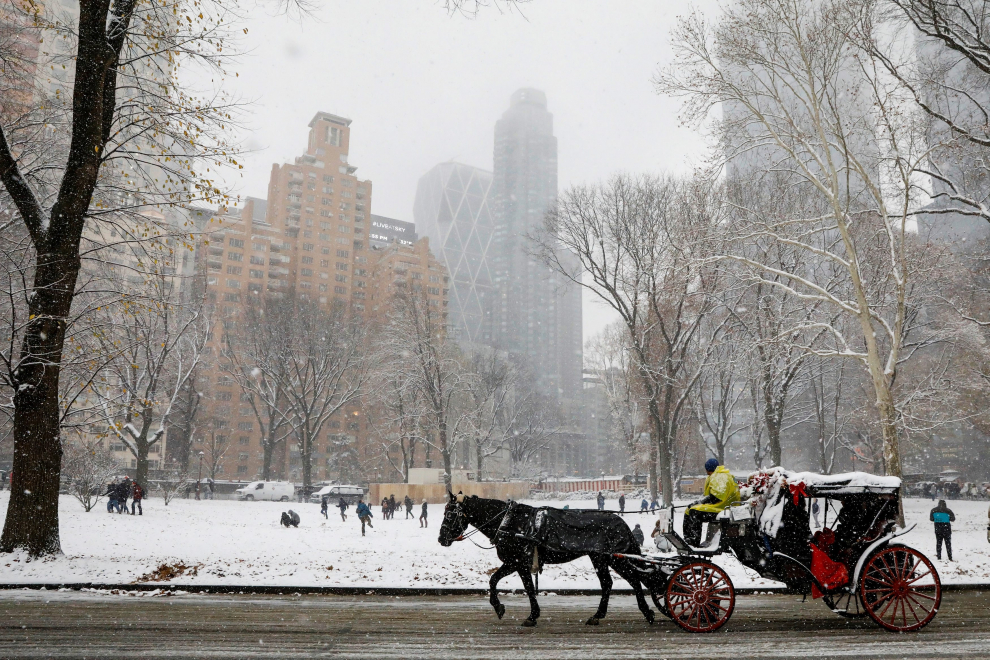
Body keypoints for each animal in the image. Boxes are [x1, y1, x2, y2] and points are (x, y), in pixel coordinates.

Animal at [436, 492, 656, 628]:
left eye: (450, 514)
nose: (441, 538)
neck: (509, 522)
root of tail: (620, 520)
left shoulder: (519, 563)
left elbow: (527, 588)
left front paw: (531, 616)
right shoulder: (513, 562)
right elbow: (493, 580)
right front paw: (499, 607)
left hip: (614, 558)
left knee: (633, 579)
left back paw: (646, 612)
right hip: (600, 558)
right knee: (609, 583)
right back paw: (598, 616)